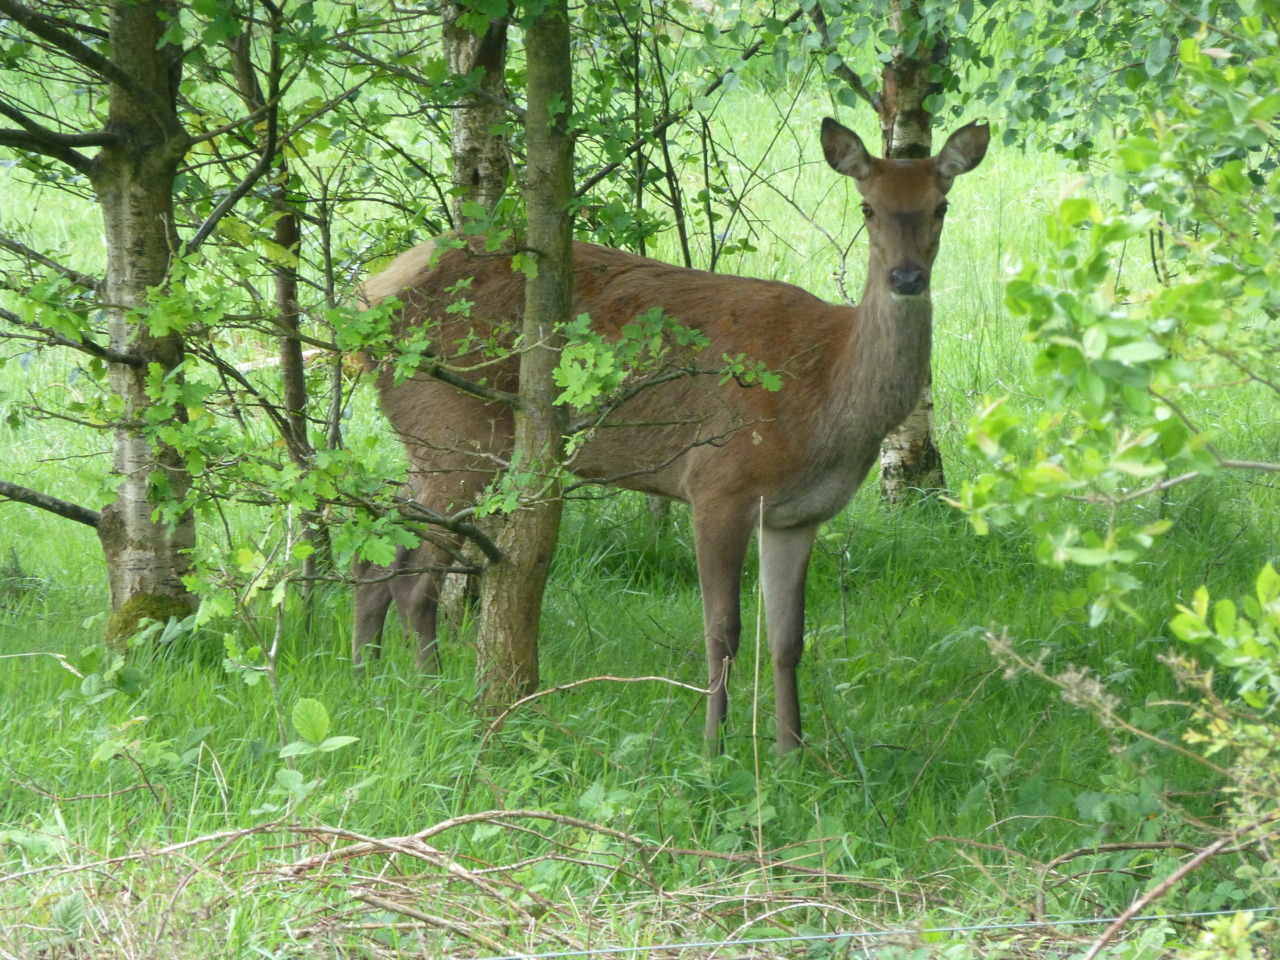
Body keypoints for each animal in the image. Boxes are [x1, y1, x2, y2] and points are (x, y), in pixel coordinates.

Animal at [353, 116, 989, 753]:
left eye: (941, 205)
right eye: (867, 207)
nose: (906, 277)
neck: (828, 392)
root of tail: (365, 303)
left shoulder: (798, 515)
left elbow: (789, 639)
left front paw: (791, 753)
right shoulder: (717, 483)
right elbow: (722, 632)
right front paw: (713, 748)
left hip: (428, 435)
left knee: (374, 552)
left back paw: (369, 679)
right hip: (459, 424)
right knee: (414, 576)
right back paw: (433, 694)